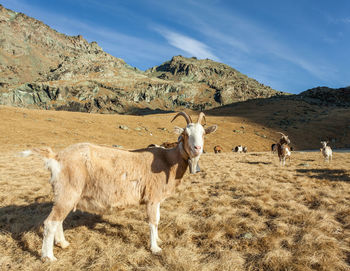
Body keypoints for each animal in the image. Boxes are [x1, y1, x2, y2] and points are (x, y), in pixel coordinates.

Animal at [20, 112, 216, 262]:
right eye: (185, 134)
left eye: (203, 134)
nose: (197, 148)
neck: (167, 161)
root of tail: (56, 157)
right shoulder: (151, 198)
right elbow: (153, 221)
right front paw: (155, 248)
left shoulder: (157, 199)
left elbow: (158, 219)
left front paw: (159, 240)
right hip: (67, 192)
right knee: (50, 222)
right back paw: (48, 257)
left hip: (65, 195)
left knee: (58, 220)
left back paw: (63, 243)